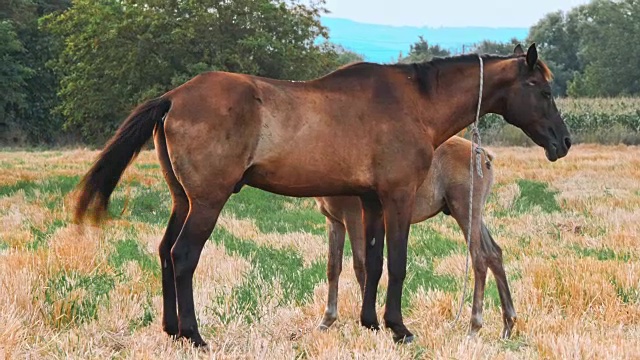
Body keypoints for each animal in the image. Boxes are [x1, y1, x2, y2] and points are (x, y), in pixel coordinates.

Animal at [318, 136, 516, 338]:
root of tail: (482, 153)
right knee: (494, 254)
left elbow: (360, 267)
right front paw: (327, 319)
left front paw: (372, 325)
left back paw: (474, 326)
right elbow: (333, 267)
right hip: (471, 216)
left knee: (480, 259)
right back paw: (508, 324)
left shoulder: (354, 220)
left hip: (466, 212)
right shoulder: (335, 222)